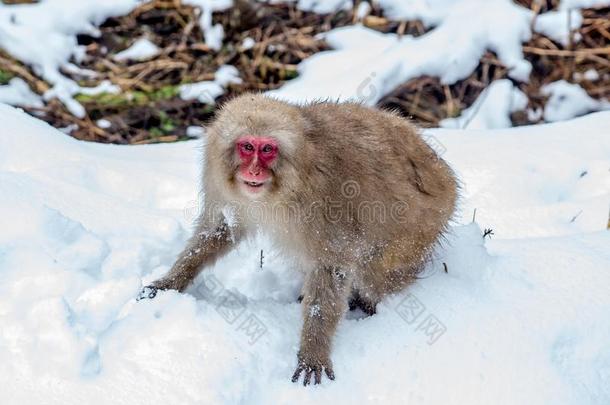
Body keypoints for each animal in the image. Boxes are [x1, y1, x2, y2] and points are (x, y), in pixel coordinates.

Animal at [137, 92, 452, 386]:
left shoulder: (328, 194)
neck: (284, 186)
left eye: (267, 149)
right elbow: (219, 229)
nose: (254, 170)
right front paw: (170, 281)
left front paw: (314, 349)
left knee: (374, 277)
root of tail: (442, 171)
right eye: (247, 146)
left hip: (420, 229)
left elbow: (332, 265)